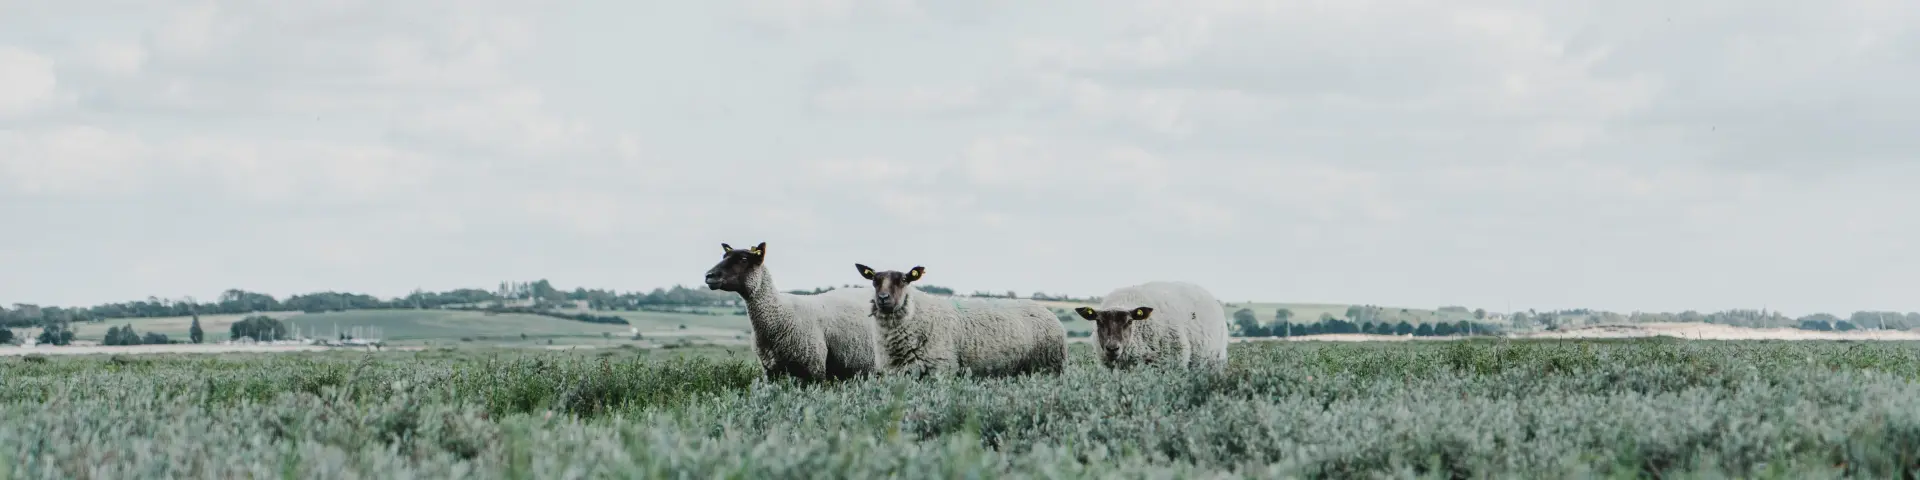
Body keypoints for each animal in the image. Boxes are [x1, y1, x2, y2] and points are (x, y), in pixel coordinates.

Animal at [703, 242, 882, 382]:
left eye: (743, 259)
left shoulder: (814, 369)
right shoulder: (771, 370)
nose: (709, 276)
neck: (780, 312)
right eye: (724, 256)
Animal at [854, 263, 1067, 377]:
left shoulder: (940, 369)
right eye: (874, 281)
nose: (883, 298)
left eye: (904, 280)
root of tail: (1046, 310)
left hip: (1049, 367)